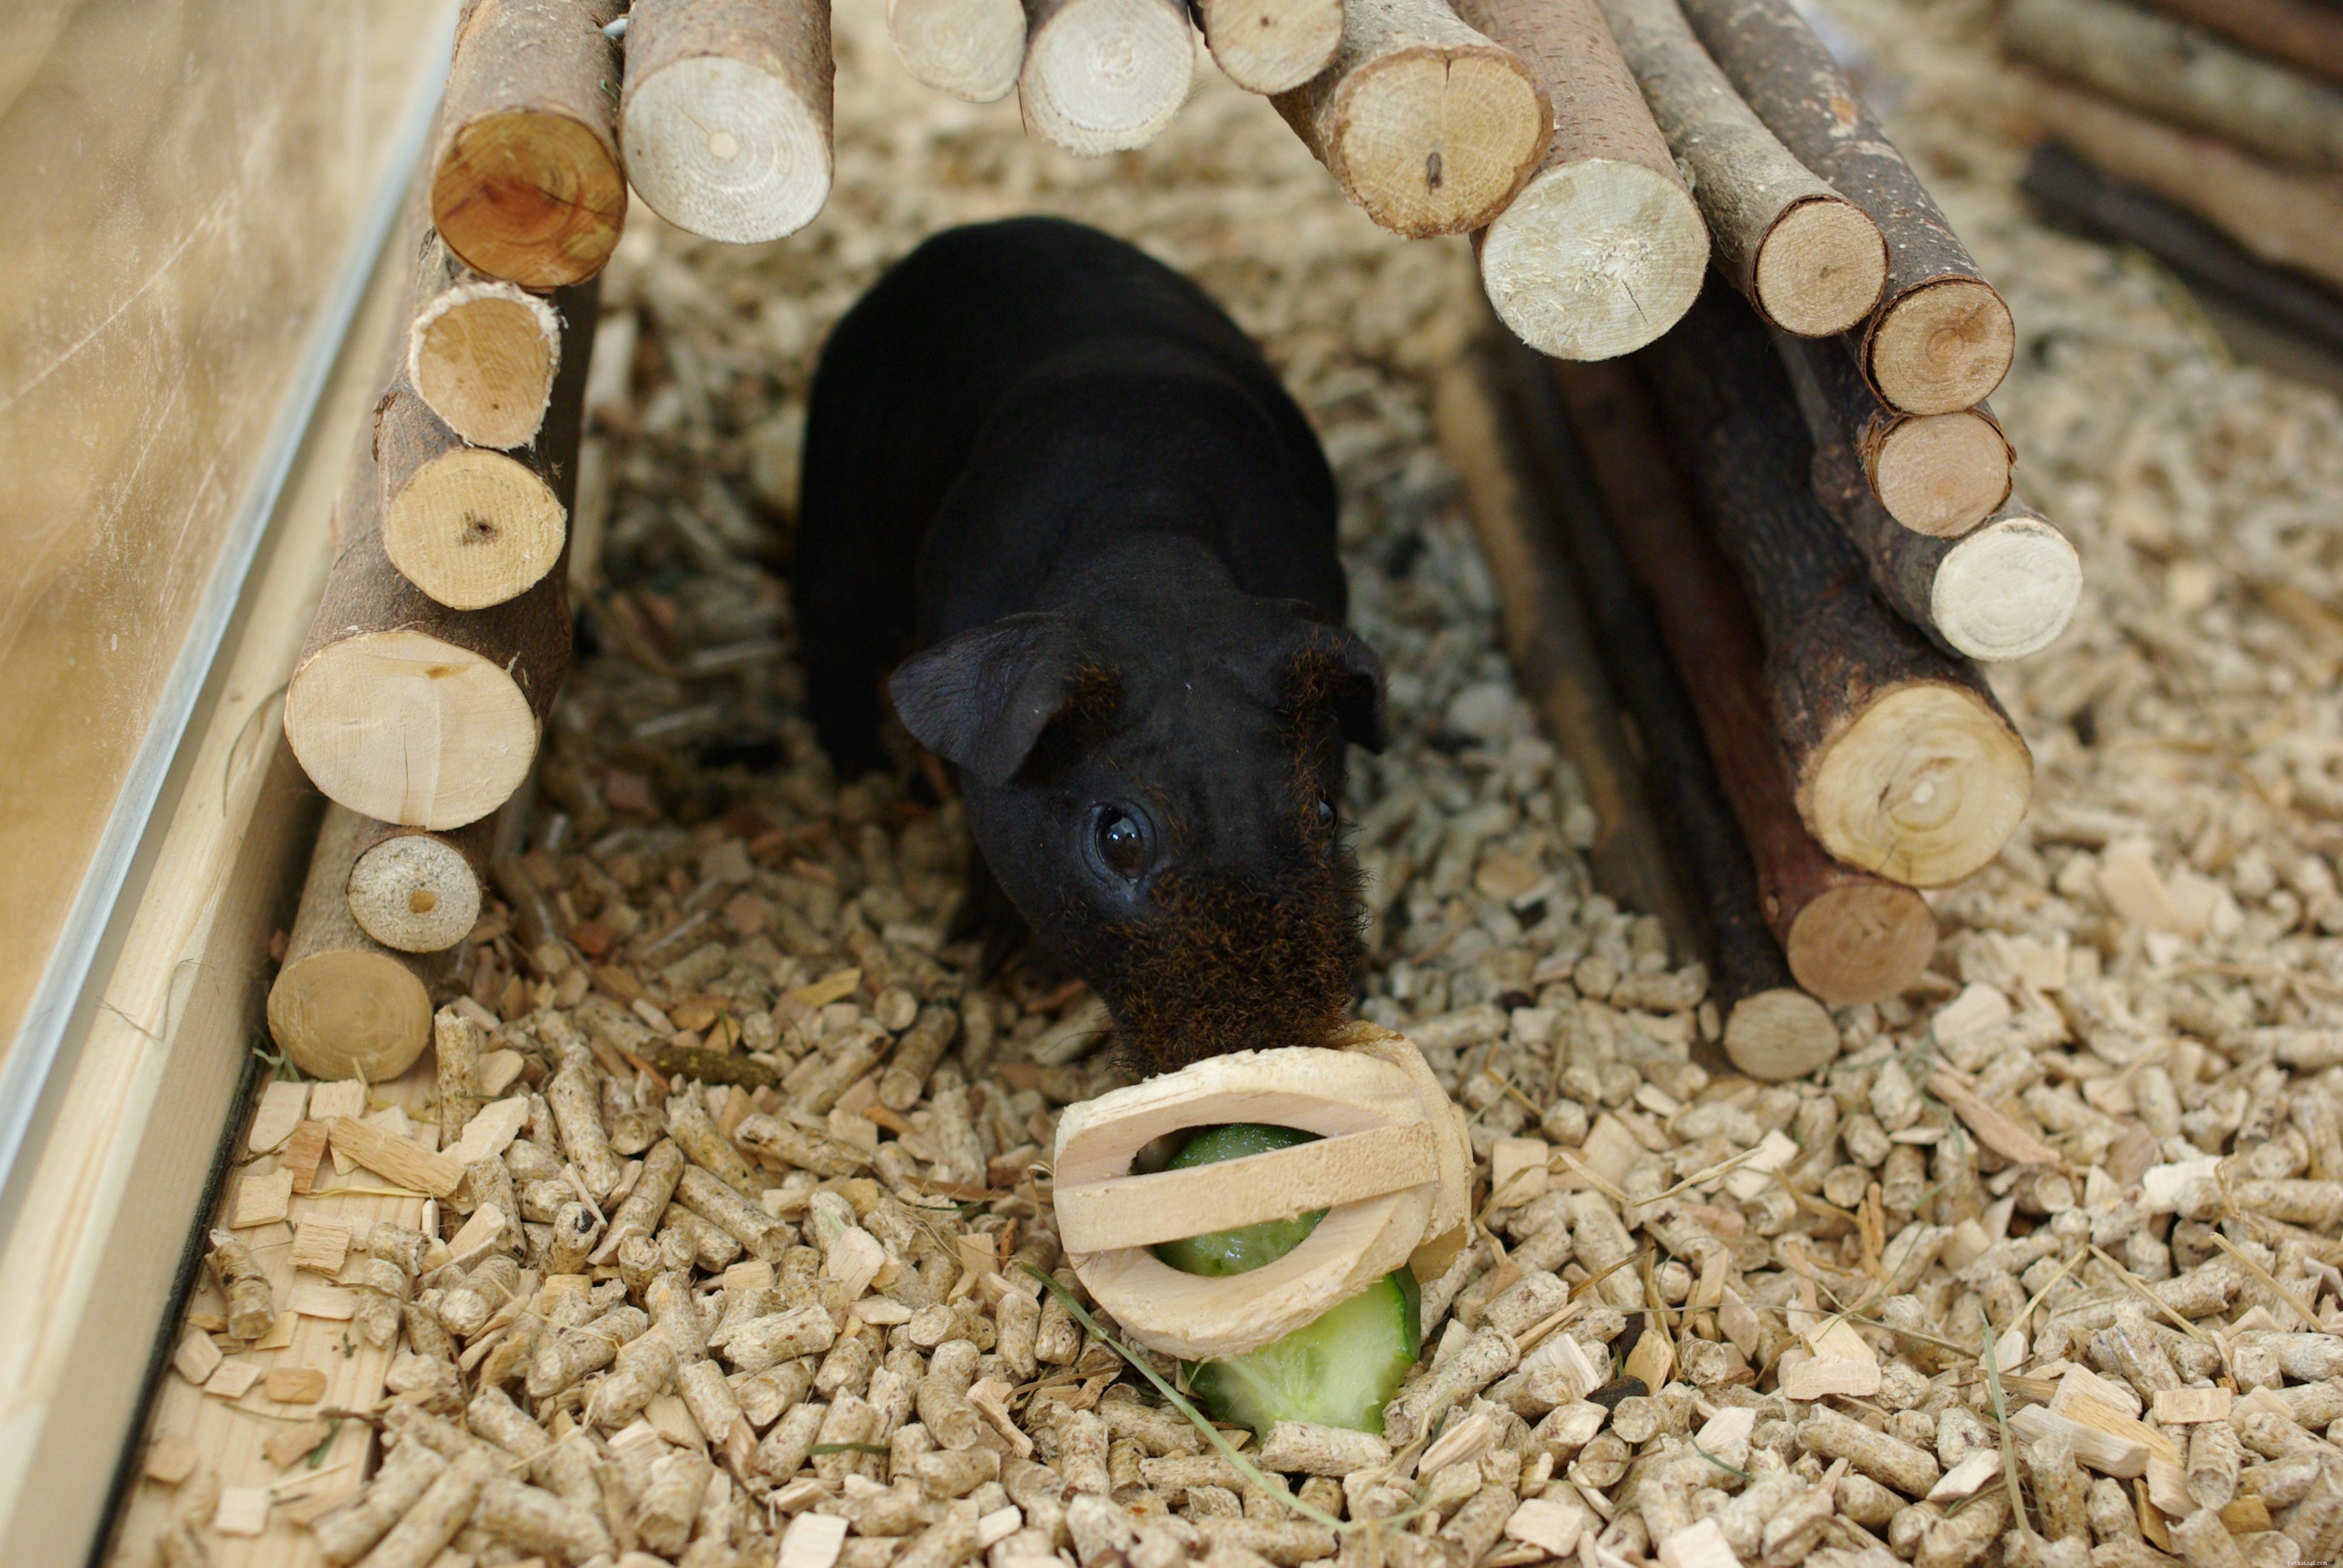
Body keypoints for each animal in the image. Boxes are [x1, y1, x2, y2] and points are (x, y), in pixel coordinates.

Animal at [792, 217, 1386, 1075]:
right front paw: (984, 955)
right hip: (840, 533)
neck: (1149, 544)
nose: (1258, 1042)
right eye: (1118, 836)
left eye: (1324, 809)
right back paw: (863, 774)